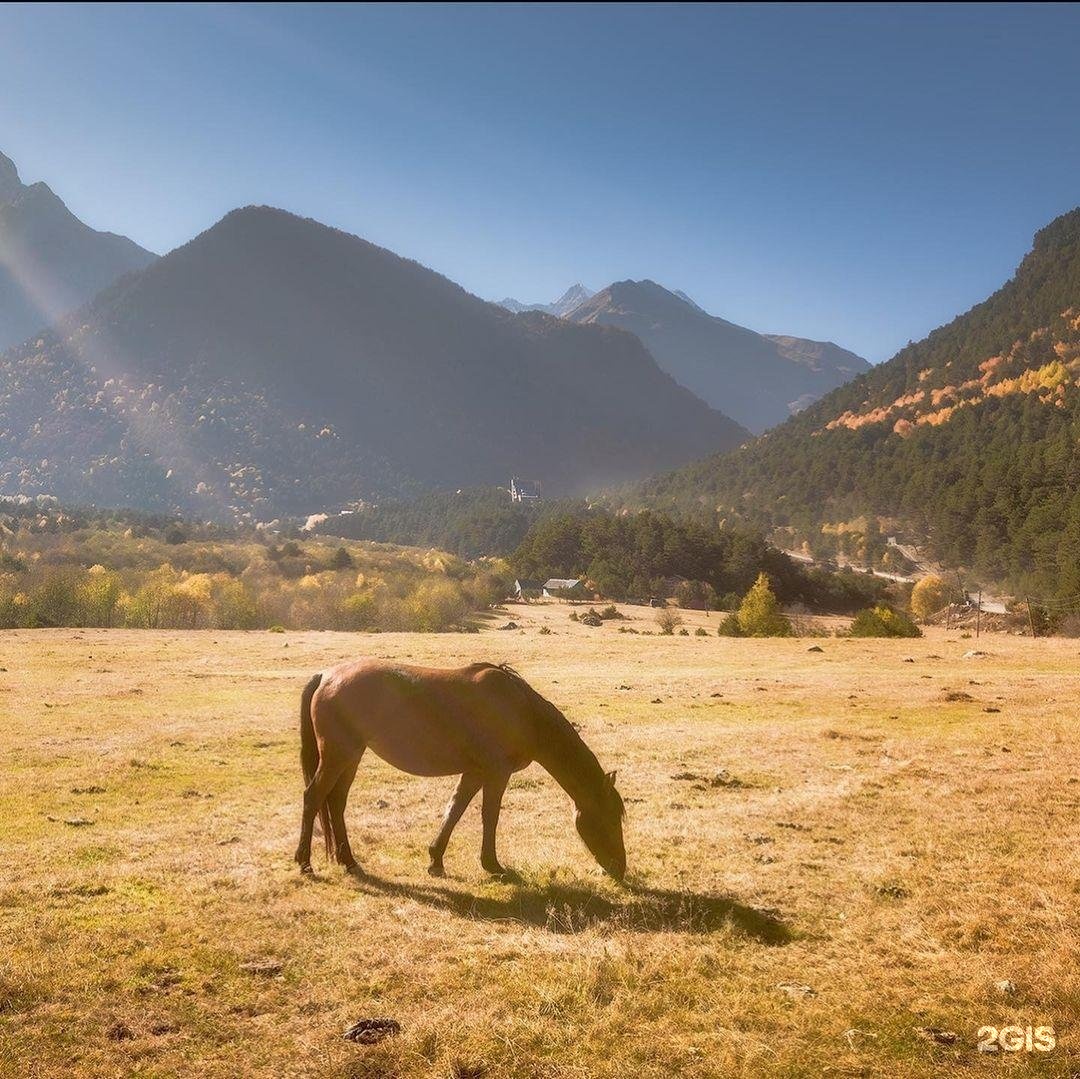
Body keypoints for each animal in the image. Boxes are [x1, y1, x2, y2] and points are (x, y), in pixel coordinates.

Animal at [291, 661, 630, 881]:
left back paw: (349, 862)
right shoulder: (496, 773)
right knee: (313, 797)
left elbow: (455, 809)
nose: (619, 868)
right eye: (609, 819)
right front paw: (493, 865)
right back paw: (305, 863)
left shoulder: (475, 773)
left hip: (351, 756)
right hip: (338, 755)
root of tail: (326, 675)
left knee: (336, 803)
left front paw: (435, 860)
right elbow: (489, 816)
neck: (520, 711)